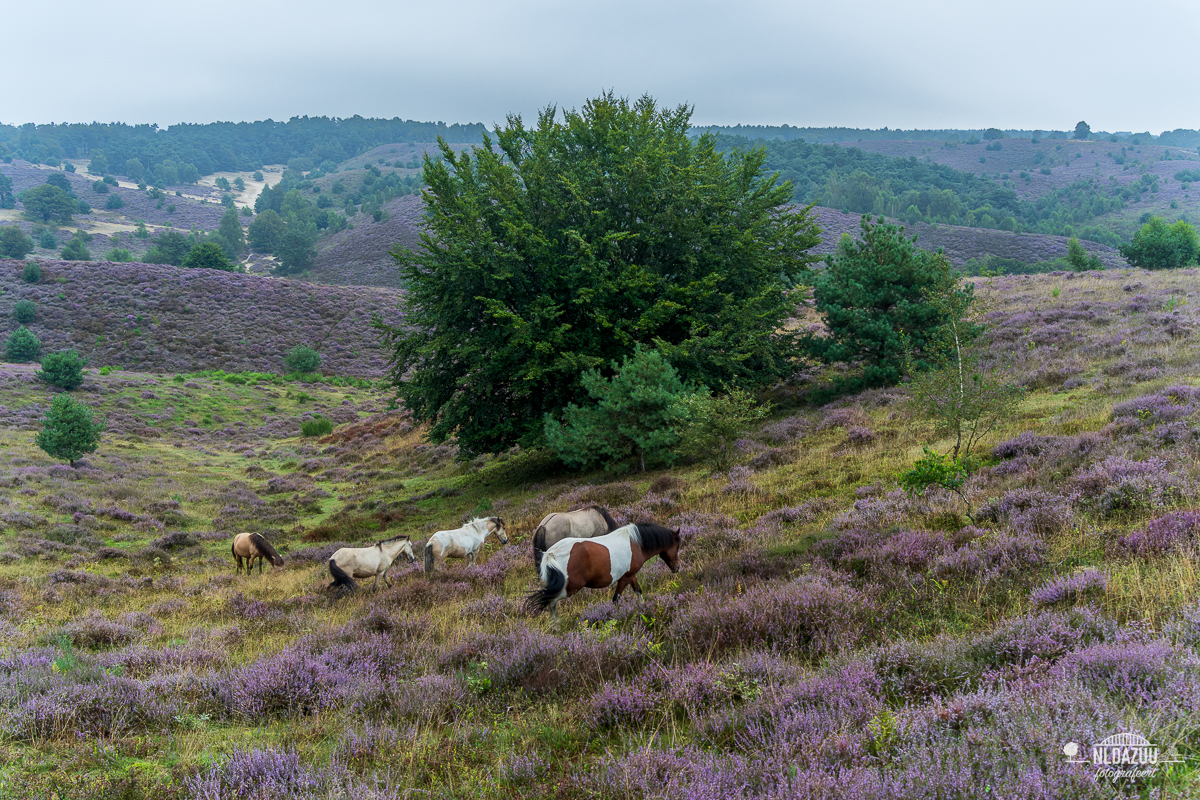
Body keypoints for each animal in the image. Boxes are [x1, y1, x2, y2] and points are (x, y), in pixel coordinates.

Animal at [528, 520, 681, 623]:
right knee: (551, 601)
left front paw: (644, 607)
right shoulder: (624, 578)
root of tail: (551, 553)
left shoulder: (631, 575)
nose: (677, 568)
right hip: (571, 587)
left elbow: (638, 591)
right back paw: (555, 625)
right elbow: (616, 599)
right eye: (677, 545)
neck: (636, 543)